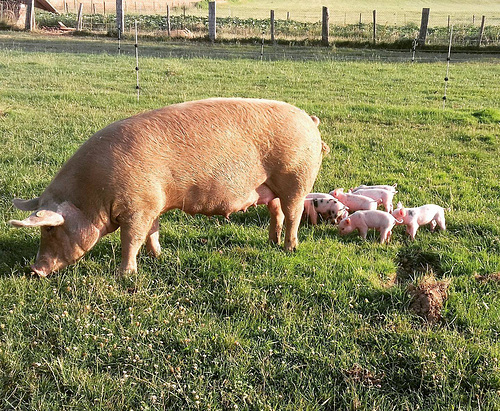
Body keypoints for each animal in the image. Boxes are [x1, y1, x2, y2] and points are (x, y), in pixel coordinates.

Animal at [9, 98, 328, 276]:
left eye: (50, 229)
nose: (34, 270)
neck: (93, 195)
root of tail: (310, 120)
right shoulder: (152, 204)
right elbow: (153, 232)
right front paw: (158, 256)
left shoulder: (136, 207)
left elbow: (131, 240)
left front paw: (125, 275)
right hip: (270, 187)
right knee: (276, 212)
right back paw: (272, 242)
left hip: (297, 177)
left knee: (293, 214)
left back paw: (289, 248)